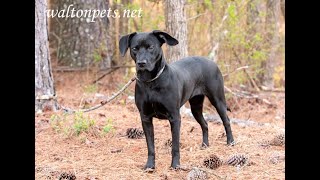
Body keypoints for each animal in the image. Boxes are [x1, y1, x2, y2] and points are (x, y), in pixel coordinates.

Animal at [119, 29, 234, 170]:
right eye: (135, 48)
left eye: (151, 47)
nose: (141, 63)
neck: (151, 82)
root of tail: (212, 62)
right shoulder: (145, 118)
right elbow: (150, 146)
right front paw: (150, 166)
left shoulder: (174, 117)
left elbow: (175, 145)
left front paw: (175, 165)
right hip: (195, 107)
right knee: (205, 124)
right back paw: (205, 145)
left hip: (217, 100)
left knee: (226, 120)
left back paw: (230, 142)